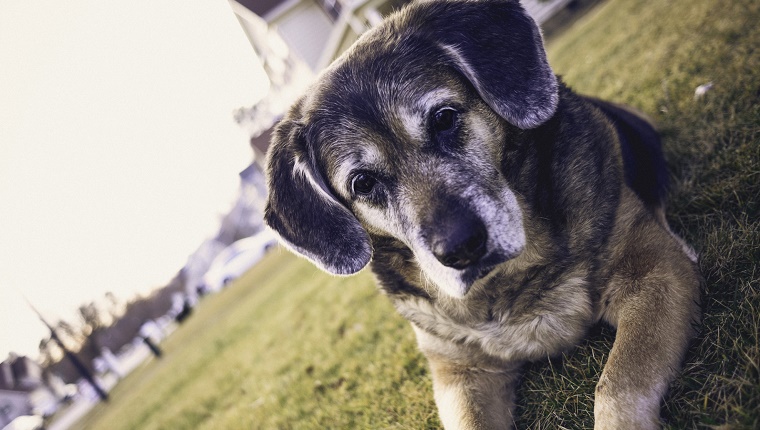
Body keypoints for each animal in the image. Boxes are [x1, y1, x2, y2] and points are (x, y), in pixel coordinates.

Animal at [262, 1, 700, 428]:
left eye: (443, 118)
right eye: (363, 183)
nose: (460, 248)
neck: (507, 279)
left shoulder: (655, 270)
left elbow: (618, 383)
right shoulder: (458, 370)